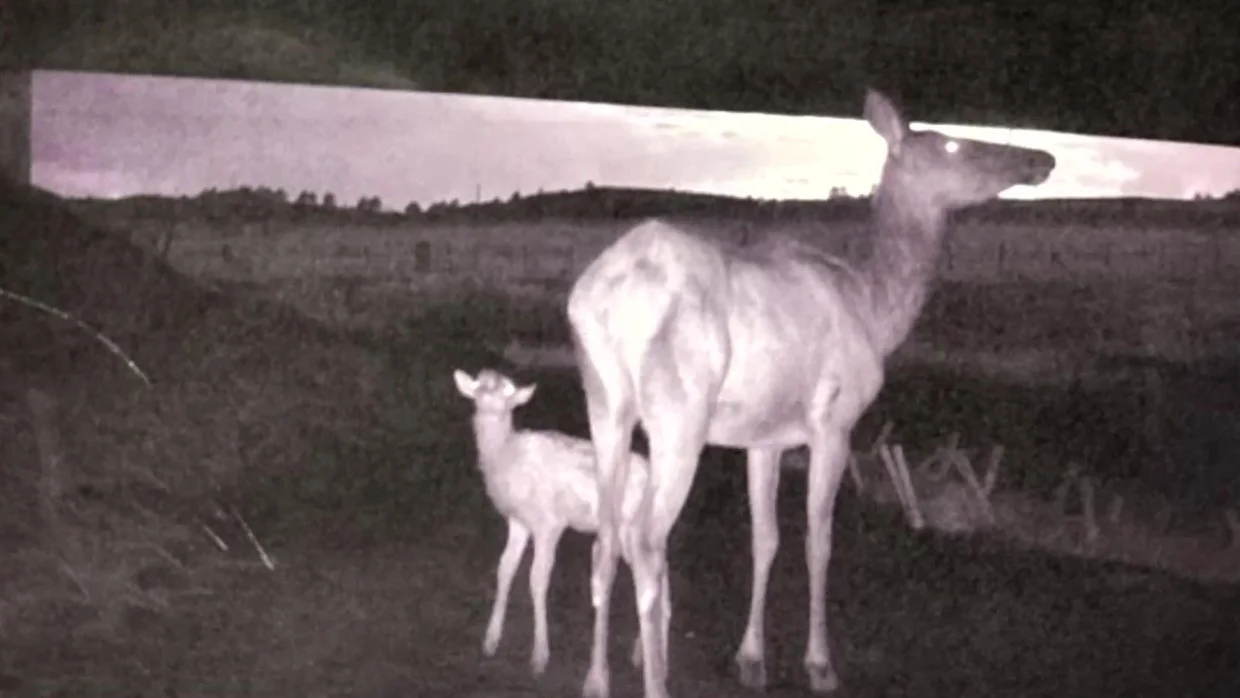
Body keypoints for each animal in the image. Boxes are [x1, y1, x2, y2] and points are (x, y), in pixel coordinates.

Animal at [453, 368, 660, 679]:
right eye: (480, 385)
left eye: (508, 391)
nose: (489, 396)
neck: (505, 456)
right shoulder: (518, 521)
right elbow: (505, 569)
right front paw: (490, 640)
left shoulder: (548, 523)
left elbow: (537, 579)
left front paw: (540, 656)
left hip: (630, 532)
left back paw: (642, 655)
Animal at [566, 88, 1056, 698]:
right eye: (950, 143)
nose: (1041, 158)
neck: (876, 310)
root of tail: (601, 298)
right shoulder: (834, 422)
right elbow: (818, 543)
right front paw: (819, 663)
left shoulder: (763, 436)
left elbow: (766, 537)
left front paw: (751, 658)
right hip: (681, 414)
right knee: (645, 540)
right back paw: (655, 679)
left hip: (605, 403)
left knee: (606, 535)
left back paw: (595, 678)